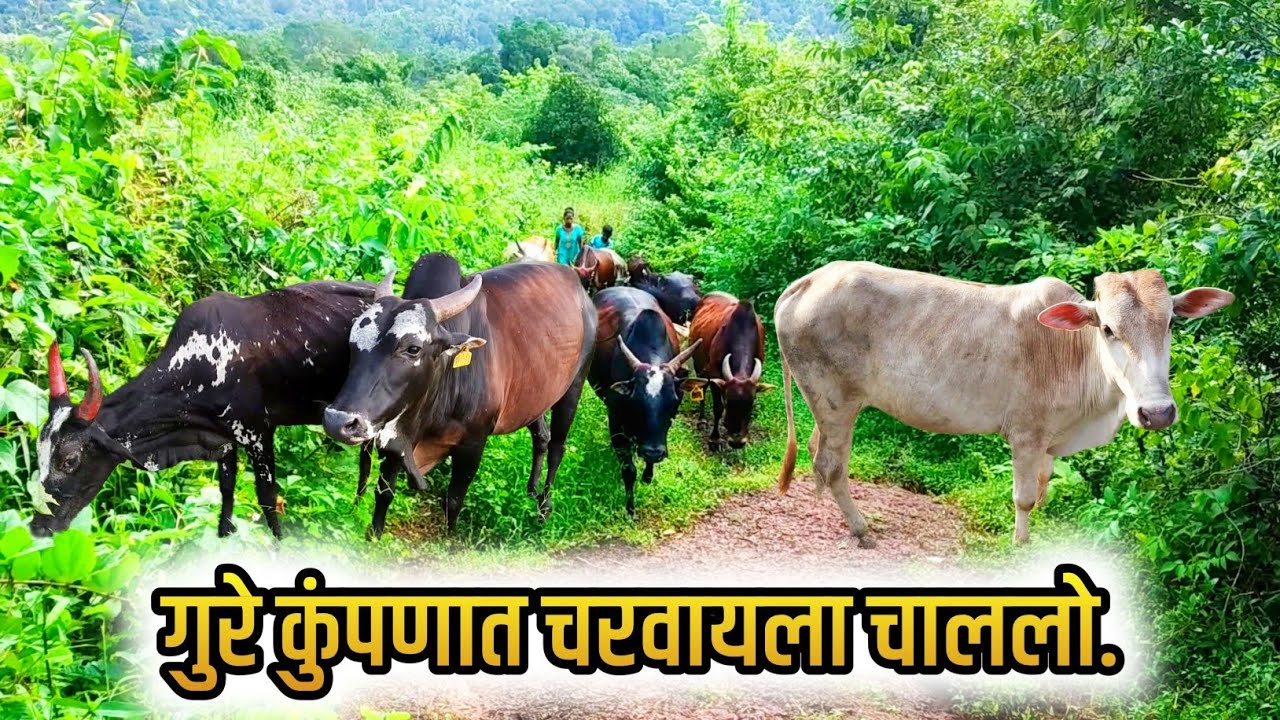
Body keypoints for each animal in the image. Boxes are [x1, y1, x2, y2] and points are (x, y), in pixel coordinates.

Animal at [29, 280, 382, 538]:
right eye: (39, 452)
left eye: (70, 460)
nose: (38, 527)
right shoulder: (223, 437)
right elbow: (227, 490)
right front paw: (223, 536)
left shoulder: (257, 433)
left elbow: (268, 498)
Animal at [322, 260, 596, 535]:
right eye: (352, 342)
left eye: (413, 349)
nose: (338, 422)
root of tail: (576, 283)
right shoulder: (393, 440)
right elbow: (384, 494)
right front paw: (374, 536)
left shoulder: (472, 445)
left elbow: (453, 500)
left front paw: (448, 538)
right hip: (533, 396)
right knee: (542, 436)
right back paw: (532, 491)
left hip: (574, 386)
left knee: (557, 446)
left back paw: (544, 507)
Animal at [589, 287, 705, 517]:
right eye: (635, 402)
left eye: (673, 403)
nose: (653, 451)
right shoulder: (615, 419)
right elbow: (628, 469)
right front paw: (630, 510)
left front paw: (648, 476)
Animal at [689, 292, 775, 451]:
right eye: (728, 401)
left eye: (751, 403)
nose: (737, 442)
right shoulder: (714, 376)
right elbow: (718, 408)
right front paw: (714, 439)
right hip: (698, 364)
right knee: (701, 387)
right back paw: (702, 420)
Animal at [775, 261, 1235, 547]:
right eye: (1107, 328)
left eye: (1171, 322)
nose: (1157, 412)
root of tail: (807, 282)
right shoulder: (1026, 434)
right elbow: (1025, 497)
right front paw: (1020, 542)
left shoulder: (1048, 442)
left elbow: (1045, 486)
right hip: (835, 401)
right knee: (833, 465)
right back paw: (860, 529)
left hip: (827, 405)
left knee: (817, 453)